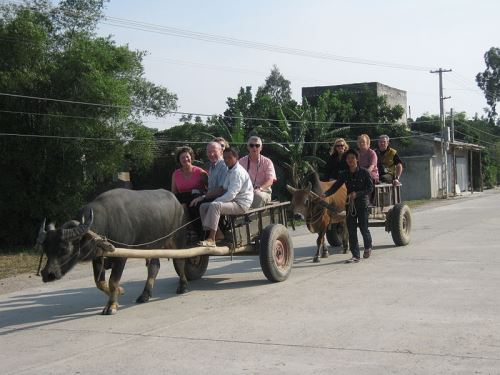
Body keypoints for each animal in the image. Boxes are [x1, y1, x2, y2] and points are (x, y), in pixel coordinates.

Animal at [37, 189, 188, 316]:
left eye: (64, 248)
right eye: (46, 249)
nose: (47, 274)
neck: (106, 224)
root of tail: (176, 201)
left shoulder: (121, 257)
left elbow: (113, 281)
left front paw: (111, 306)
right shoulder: (98, 258)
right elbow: (100, 283)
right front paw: (120, 291)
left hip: (177, 238)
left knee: (180, 261)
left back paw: (183, 286)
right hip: (152, 247)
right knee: (154, 267)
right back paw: (145, 295)